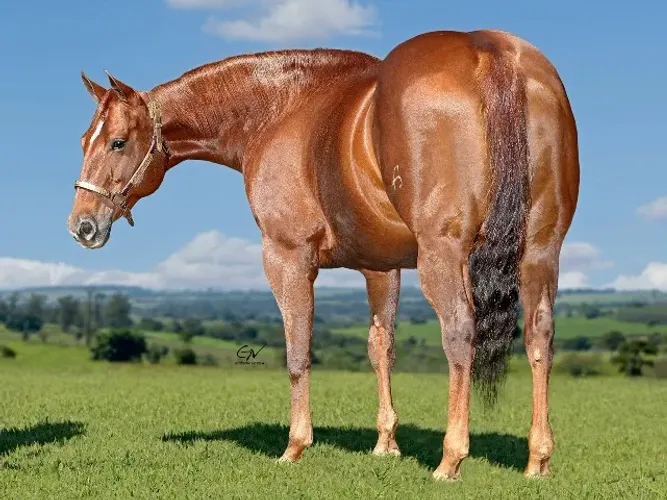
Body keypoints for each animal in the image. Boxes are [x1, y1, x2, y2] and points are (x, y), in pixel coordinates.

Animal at [67, 29, 579, 480]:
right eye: (84, 141)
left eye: (117, 142)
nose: (82, 226)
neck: (279, 110)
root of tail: (489, 49)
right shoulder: (381, 267)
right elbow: (380, 347)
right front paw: (386, 443)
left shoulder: (287, 257)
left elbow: (298, 352)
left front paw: (295, 446)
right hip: (540, 252)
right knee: (540, 337)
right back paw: (538, 459)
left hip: (444, 254)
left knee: (459, 332)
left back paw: (450, 459)